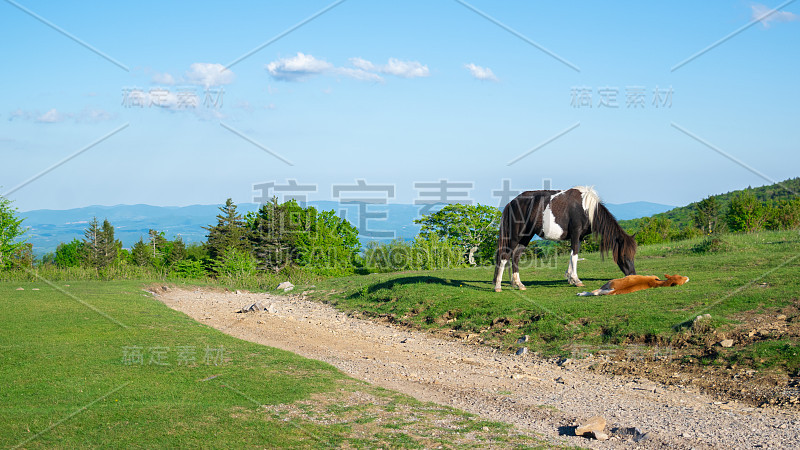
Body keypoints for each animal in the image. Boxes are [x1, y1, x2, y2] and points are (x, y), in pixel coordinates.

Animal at [490, 186, 636, 292]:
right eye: (624, 255)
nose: (633, 275)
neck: (586, 208)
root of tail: (512, 202)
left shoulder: (578, 237)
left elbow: (573, 255)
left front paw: (570, 278)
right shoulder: (575, 233)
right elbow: (575, 256)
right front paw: (577, 280)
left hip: (526, 237)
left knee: (515, 256)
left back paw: (519, 284)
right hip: (516, 236)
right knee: (505, 256)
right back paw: (498, 286)